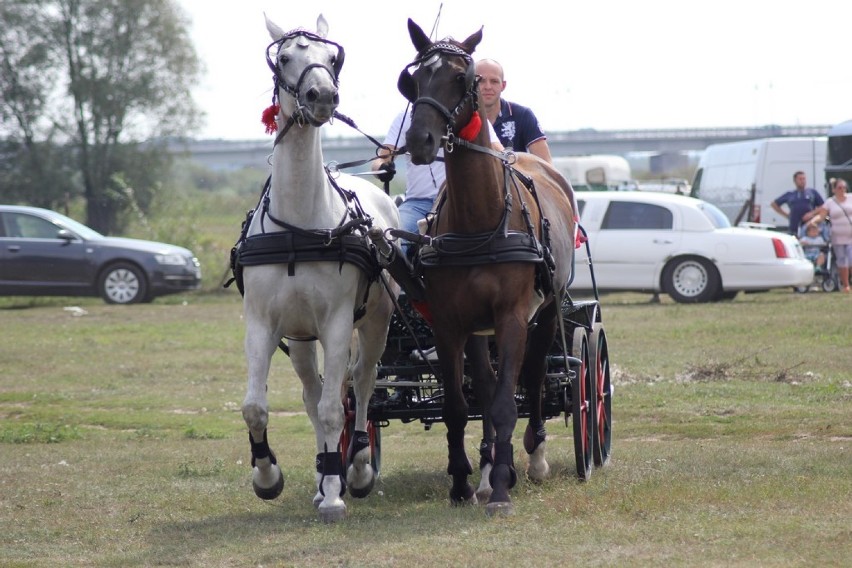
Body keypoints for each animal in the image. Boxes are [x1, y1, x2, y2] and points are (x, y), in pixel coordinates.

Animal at [240, 14, 400, 524]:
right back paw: (323, 470)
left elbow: (336, 408)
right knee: (314, 394)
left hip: (375, 322)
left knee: (362, 384)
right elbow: (257, 407)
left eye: (332, 58)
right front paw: (267, 476)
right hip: (300, 338)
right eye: (285, 56)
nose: (322, 96)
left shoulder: (336, 323)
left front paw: (335, 493)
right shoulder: (263, 324)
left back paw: (356, 468)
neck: (299, 225)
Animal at [400, 18, 580, 516]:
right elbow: (462, 405)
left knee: (532, 375)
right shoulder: (449, 322)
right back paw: (486, 468)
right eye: (414, 80)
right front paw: (464, 482)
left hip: (547, 308)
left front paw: (501, 488)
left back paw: (532, 457)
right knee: (486, 382)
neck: (479, 219)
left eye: (462, 77)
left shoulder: (513, 316)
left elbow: (504, 403)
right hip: (479, 328)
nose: (420, 140)